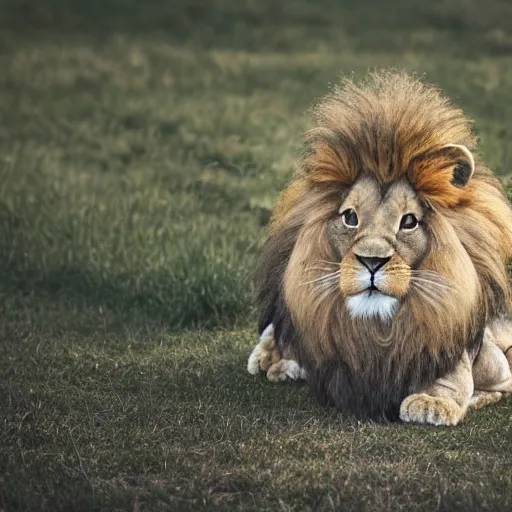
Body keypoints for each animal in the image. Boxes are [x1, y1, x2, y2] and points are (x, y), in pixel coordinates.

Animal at [246, 71, 512, 424]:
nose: (372, 262)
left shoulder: (480, 356)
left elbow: (456, 376)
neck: (381, 330)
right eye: (350, 217)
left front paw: (432, 402)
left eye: (409, 221)